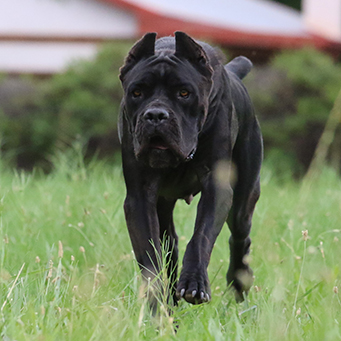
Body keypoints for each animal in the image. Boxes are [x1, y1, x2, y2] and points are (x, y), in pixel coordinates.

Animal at [118, 31, 262, 308]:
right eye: (137, 92)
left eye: (184, 93)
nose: (156, 115)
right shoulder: (139, 198)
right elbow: (150, 257)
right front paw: (156, 304)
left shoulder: (217, 189)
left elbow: (201, 237)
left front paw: (195, 284)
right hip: (163, 207)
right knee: (169, 246)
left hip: (244, 199)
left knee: (240, 237)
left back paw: (239, 285)